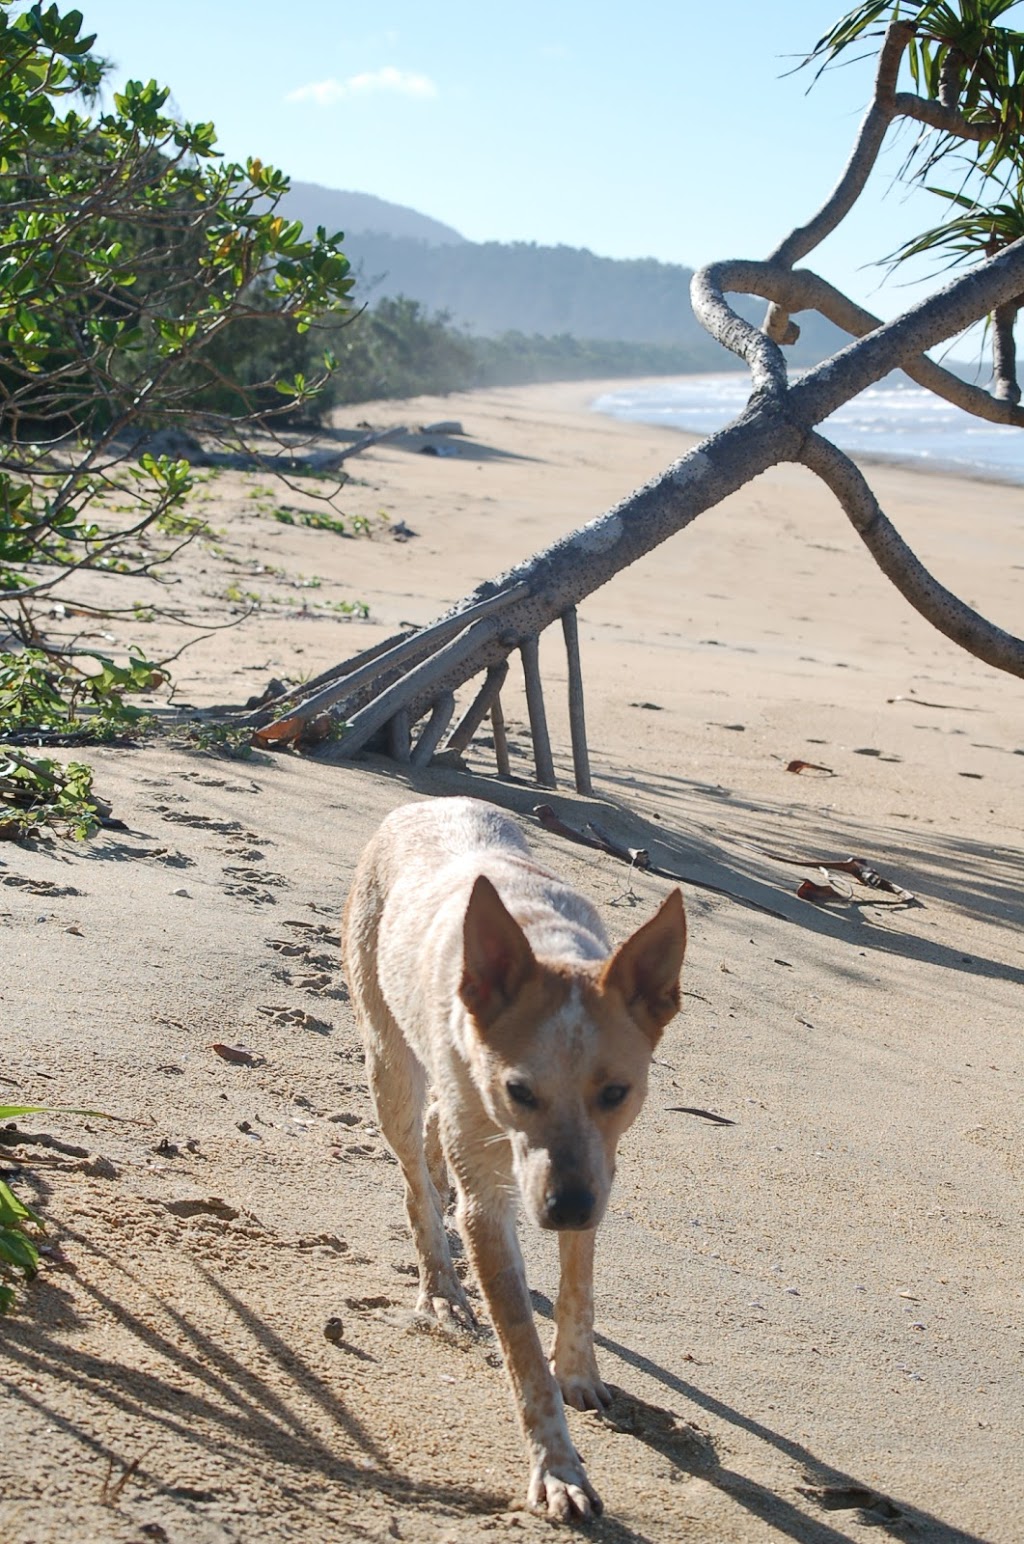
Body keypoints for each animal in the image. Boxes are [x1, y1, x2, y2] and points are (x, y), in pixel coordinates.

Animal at [339, 796, 685, 1519]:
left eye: (617, 1093)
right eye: (520, 1090)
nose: (565, 1208)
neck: (545, 945)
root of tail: (421, 803)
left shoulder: (598, 1170)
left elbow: (579, 1289)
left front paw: (579, 1371)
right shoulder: (491, 1207)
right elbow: (522, 1352)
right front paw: (558, 1469)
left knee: (436, 1142)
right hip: (389, 1065)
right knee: (416, 1182)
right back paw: (441, 1289)